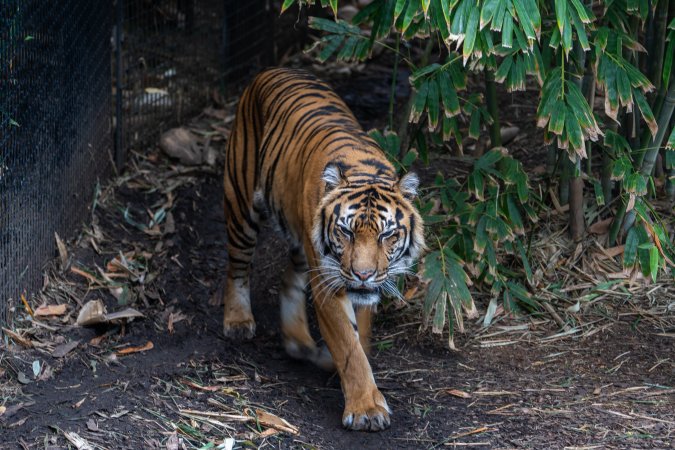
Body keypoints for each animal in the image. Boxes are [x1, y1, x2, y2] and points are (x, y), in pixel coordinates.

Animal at [221, 67, 425, 431]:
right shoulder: (330, 282)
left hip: (302, 243)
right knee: (237, 267)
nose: (362, 274)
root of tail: (273, 69)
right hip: (241, 203)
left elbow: (361, 335)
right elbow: (348, 346)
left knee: (288, 279)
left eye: (387, 235)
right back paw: (238, 320)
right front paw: (366, 409)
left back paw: (299, 343)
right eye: (345, 231)